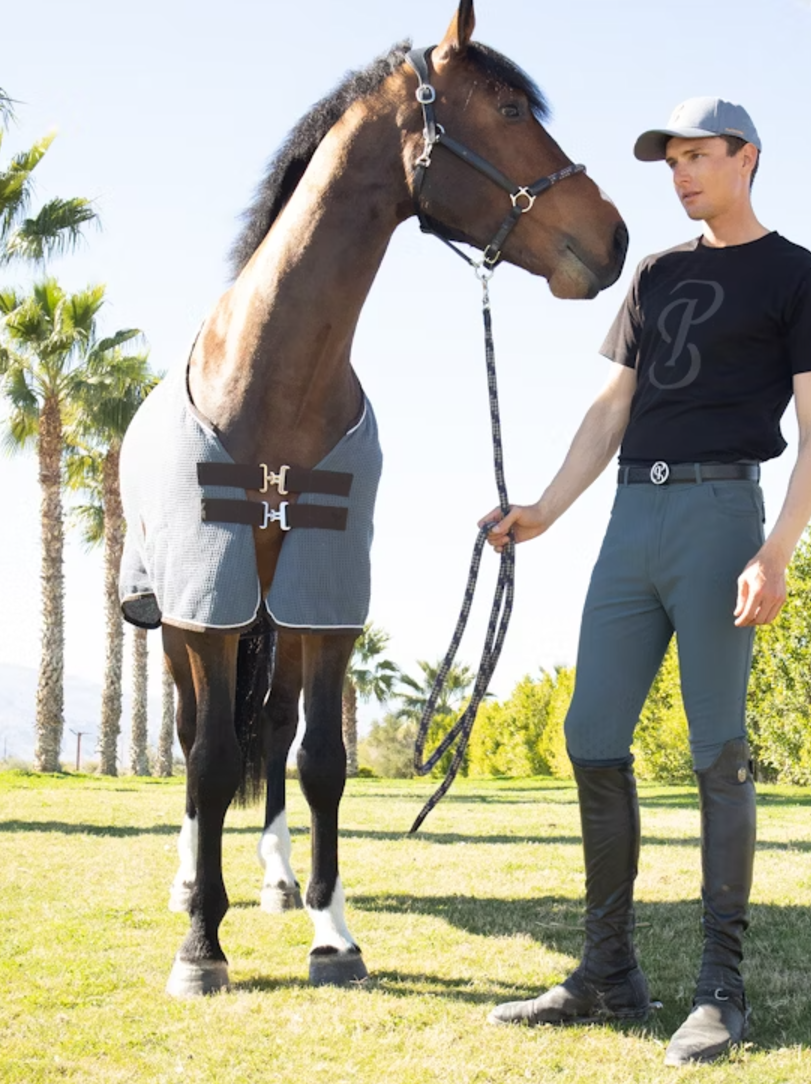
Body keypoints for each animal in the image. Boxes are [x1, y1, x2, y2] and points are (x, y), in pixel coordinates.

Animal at [118, 0, 628, 997]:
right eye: (509, 108)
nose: (616, 238)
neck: (272, 381)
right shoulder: (208, 598)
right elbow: (210, 760)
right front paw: (201, 946)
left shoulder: (326, 595)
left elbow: (319, 760)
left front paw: (332, 933)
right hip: (179, 621)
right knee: (199, 736)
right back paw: (187, 882)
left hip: (274, 612)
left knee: (272, 731)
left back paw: (276, 883)